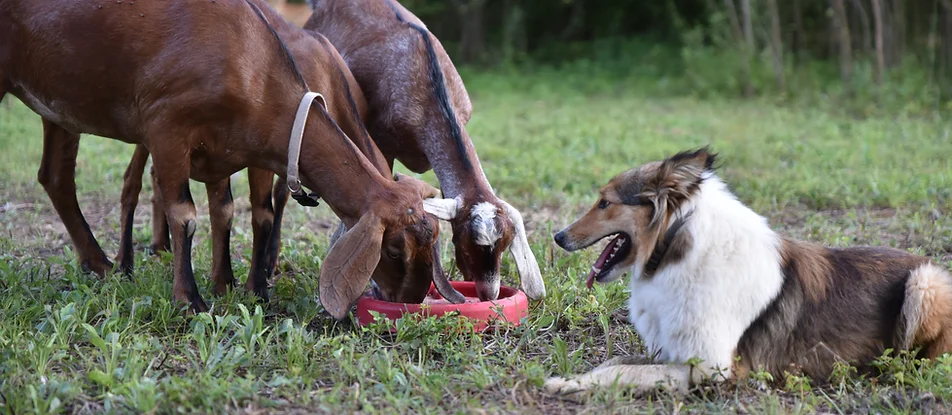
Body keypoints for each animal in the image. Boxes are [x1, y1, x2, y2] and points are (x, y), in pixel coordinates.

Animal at [0, 0, 458, 318]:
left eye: (433, 240)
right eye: (394, 250)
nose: (410, 301)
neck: (250, 61)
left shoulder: (224, 147)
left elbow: (227, 211)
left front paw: (228, 284)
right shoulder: (168, 126)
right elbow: (187, 214)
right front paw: (194, 299)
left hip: (59, 107)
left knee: (56, 177)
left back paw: (100, 263)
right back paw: (118, 263)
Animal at [544, 149, 952, 396]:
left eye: (605, 203)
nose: (558, 237)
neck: (675, 248)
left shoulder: (714, 368)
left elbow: (623, 372)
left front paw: (565, 383)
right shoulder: (673, 350)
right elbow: (615, 362)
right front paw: (571, 377)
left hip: (925, 282)